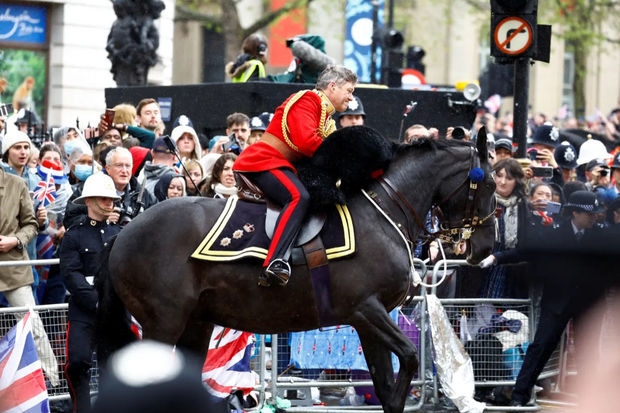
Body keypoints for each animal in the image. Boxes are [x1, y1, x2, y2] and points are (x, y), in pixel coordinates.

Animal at [95, 126, 494, 412]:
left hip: (197, 322)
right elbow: (410, 358)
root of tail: (123, 232)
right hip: (164, 322)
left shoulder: (370, 321)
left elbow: (387, 387)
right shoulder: (367, 310)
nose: (486, 248)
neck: (382, 213)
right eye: (489, 182)